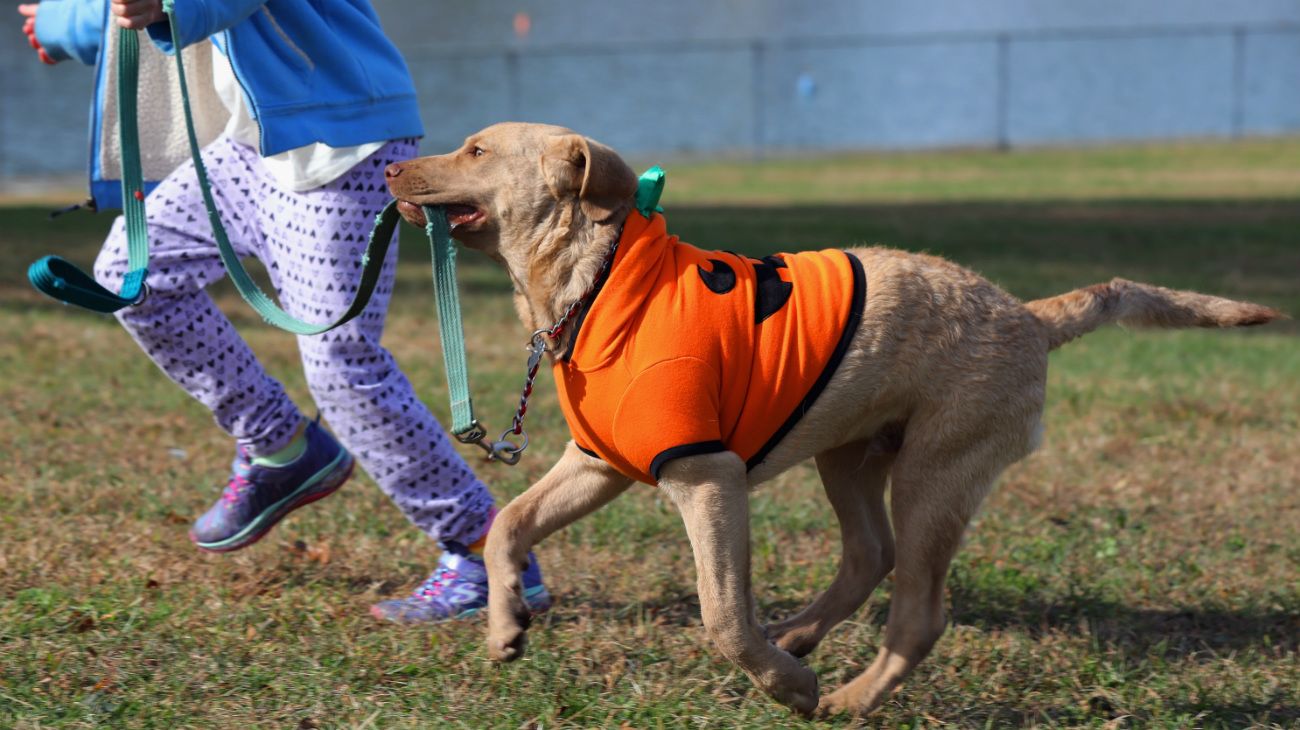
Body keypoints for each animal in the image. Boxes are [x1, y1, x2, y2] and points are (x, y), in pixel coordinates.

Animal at [382, 122, 1279, 711]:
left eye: (475, 151)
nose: (388, 172)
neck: (599, 284)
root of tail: (1029, 315)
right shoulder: (600, 462)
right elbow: (508, 523)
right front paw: (506, 627)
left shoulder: (705, 476)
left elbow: (722, 613)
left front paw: (788, 687)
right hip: (851, 454)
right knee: (869, 555)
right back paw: (802, 634)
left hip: (936, 472)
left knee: (916, 610)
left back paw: (843, 695)